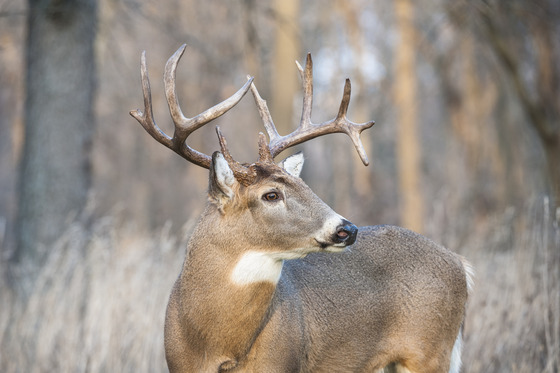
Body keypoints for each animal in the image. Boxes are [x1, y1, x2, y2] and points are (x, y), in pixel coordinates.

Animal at [131, 45, 472, 370]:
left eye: (304, 185)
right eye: (271, 195)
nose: (347, 229)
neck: (218, 347)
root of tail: (460, 263)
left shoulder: (282, 362)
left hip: (430, 352)